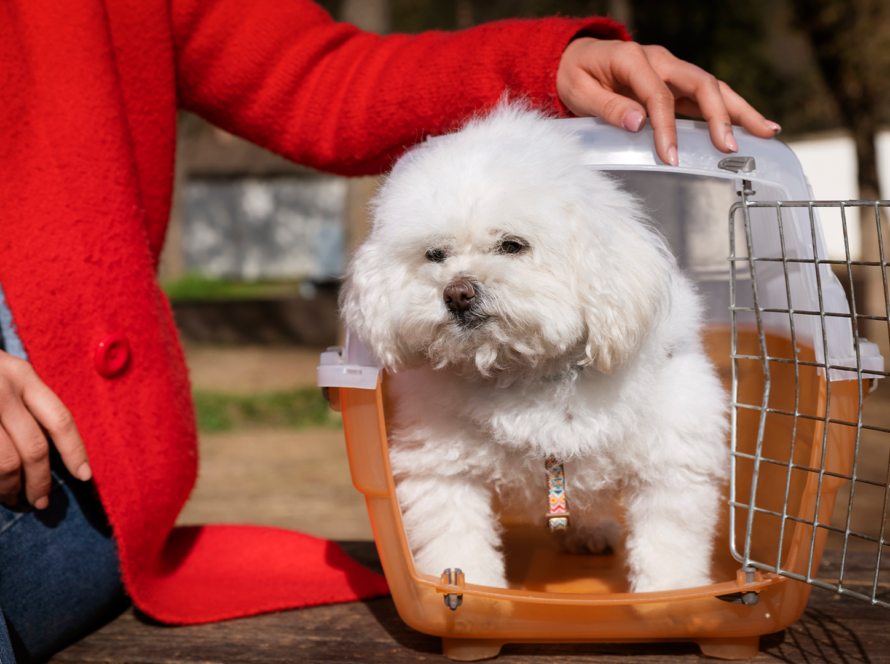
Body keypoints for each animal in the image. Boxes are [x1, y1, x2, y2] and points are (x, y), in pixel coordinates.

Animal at [342, 106, 728, 592]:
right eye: (434, 255)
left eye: (512, 245)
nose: (457, 293)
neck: (524, 369)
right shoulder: (443, 471)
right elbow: (458, 546)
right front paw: (468, 592)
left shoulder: (671, 464)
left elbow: (668, 550)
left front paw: (669, 597)